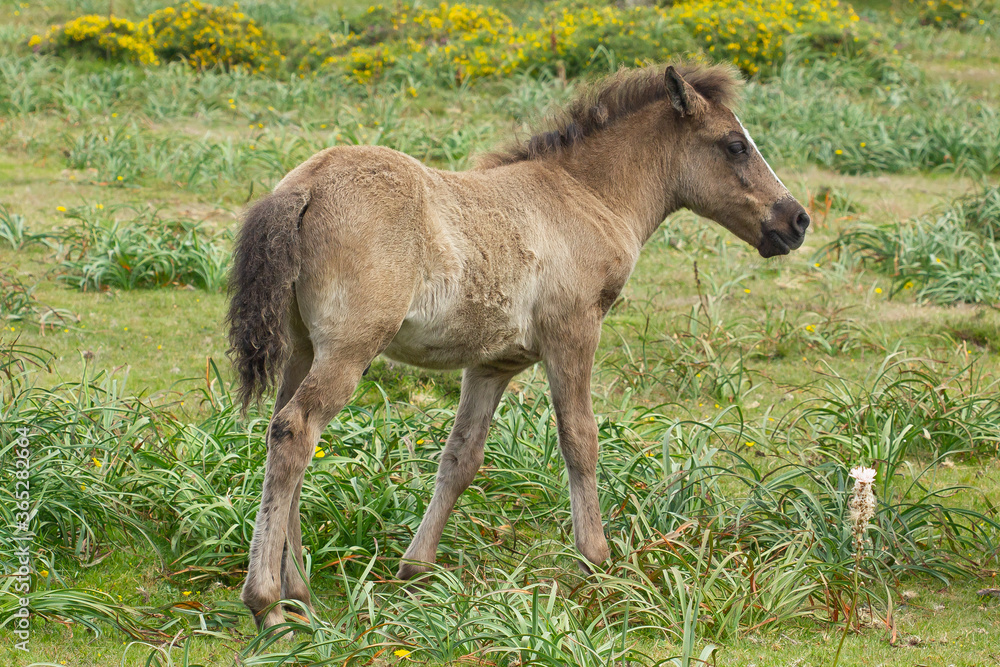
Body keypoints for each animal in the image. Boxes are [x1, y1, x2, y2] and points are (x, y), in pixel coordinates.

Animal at [226, 63, 810, 629]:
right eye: (734, 144)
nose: (796, 220)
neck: (587, 197)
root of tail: (304, 187)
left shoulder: (492, 364)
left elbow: (461, 458)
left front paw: (416, 569)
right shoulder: (573, 331)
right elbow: (580, 439)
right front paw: (597, 562)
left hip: (304, 347)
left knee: (283, 432)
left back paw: (300, 595)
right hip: (350, 348)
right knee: (297, 430)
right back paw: (269, 606)